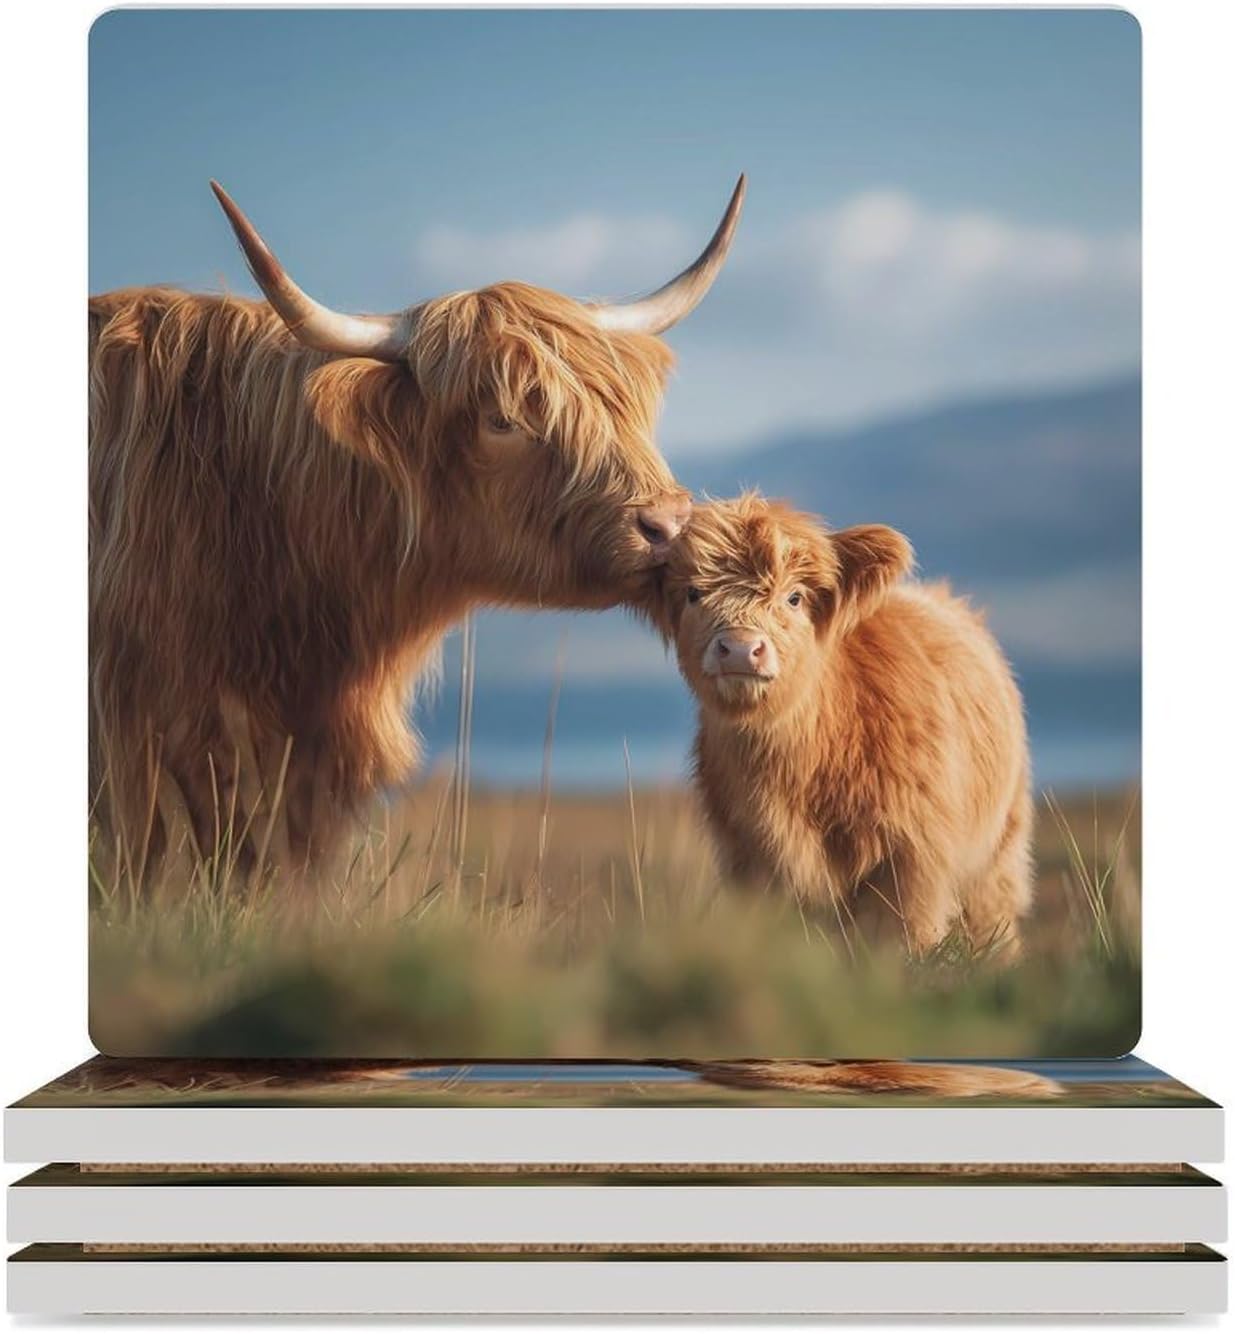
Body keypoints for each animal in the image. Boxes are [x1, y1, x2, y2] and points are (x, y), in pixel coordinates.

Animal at [642, 493, 1033, 958]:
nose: (739, 648)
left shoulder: (913, 859)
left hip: (998, 849)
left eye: (794, 597)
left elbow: (905, 938)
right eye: (693, 593)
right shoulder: (749, 859)